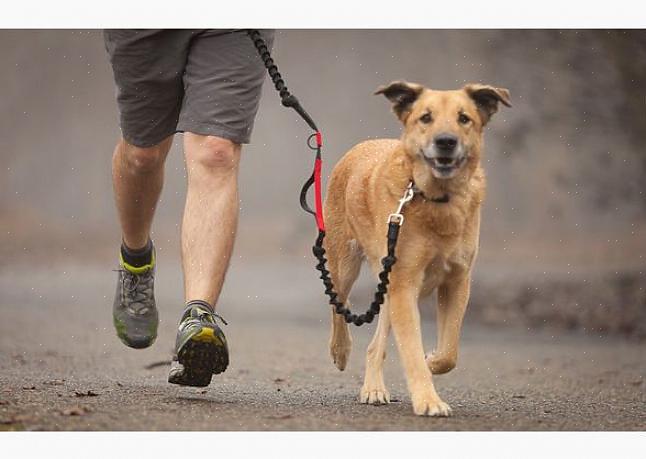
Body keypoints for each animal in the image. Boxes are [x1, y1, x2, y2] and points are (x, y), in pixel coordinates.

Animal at [324, 80, 512, 416]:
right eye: (426, 117)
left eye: (464, 118)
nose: (446, 142)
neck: (436, 198)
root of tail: (362, 146)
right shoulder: (404, 283)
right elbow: (411, 349)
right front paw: (428, 400)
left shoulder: (456, 281)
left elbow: (449, 351)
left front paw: (433, 360)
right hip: (345, 265)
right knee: (338, 304)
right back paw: (341, 351)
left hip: (387, 284)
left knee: (375, 345)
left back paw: (373, 388)